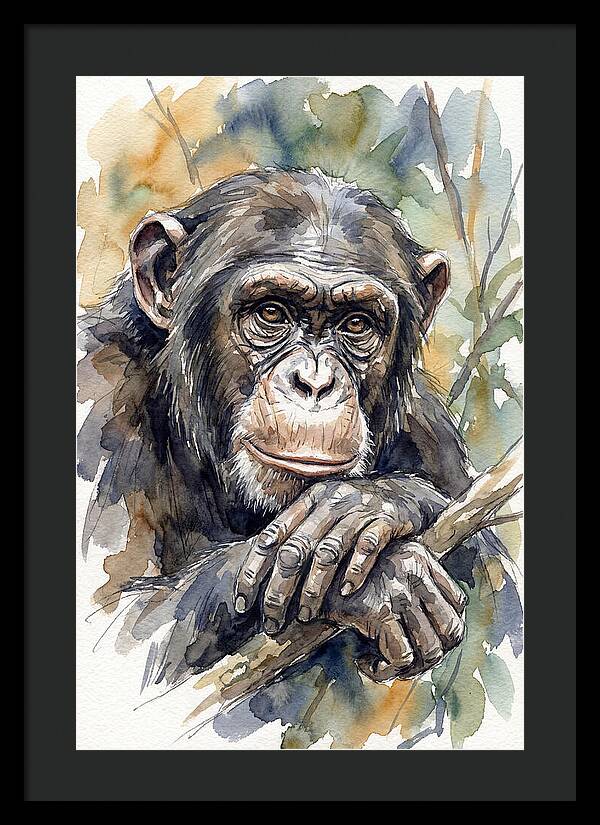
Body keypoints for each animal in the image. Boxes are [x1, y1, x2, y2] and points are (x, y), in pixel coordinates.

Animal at [78, 168, 521, 687]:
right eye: (271, 312)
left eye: (357, 324)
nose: (314, 382)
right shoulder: (97, 395)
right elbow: (117, 630)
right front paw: (388, 579)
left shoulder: (430, 431)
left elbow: (500, 594)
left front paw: (367, 504)